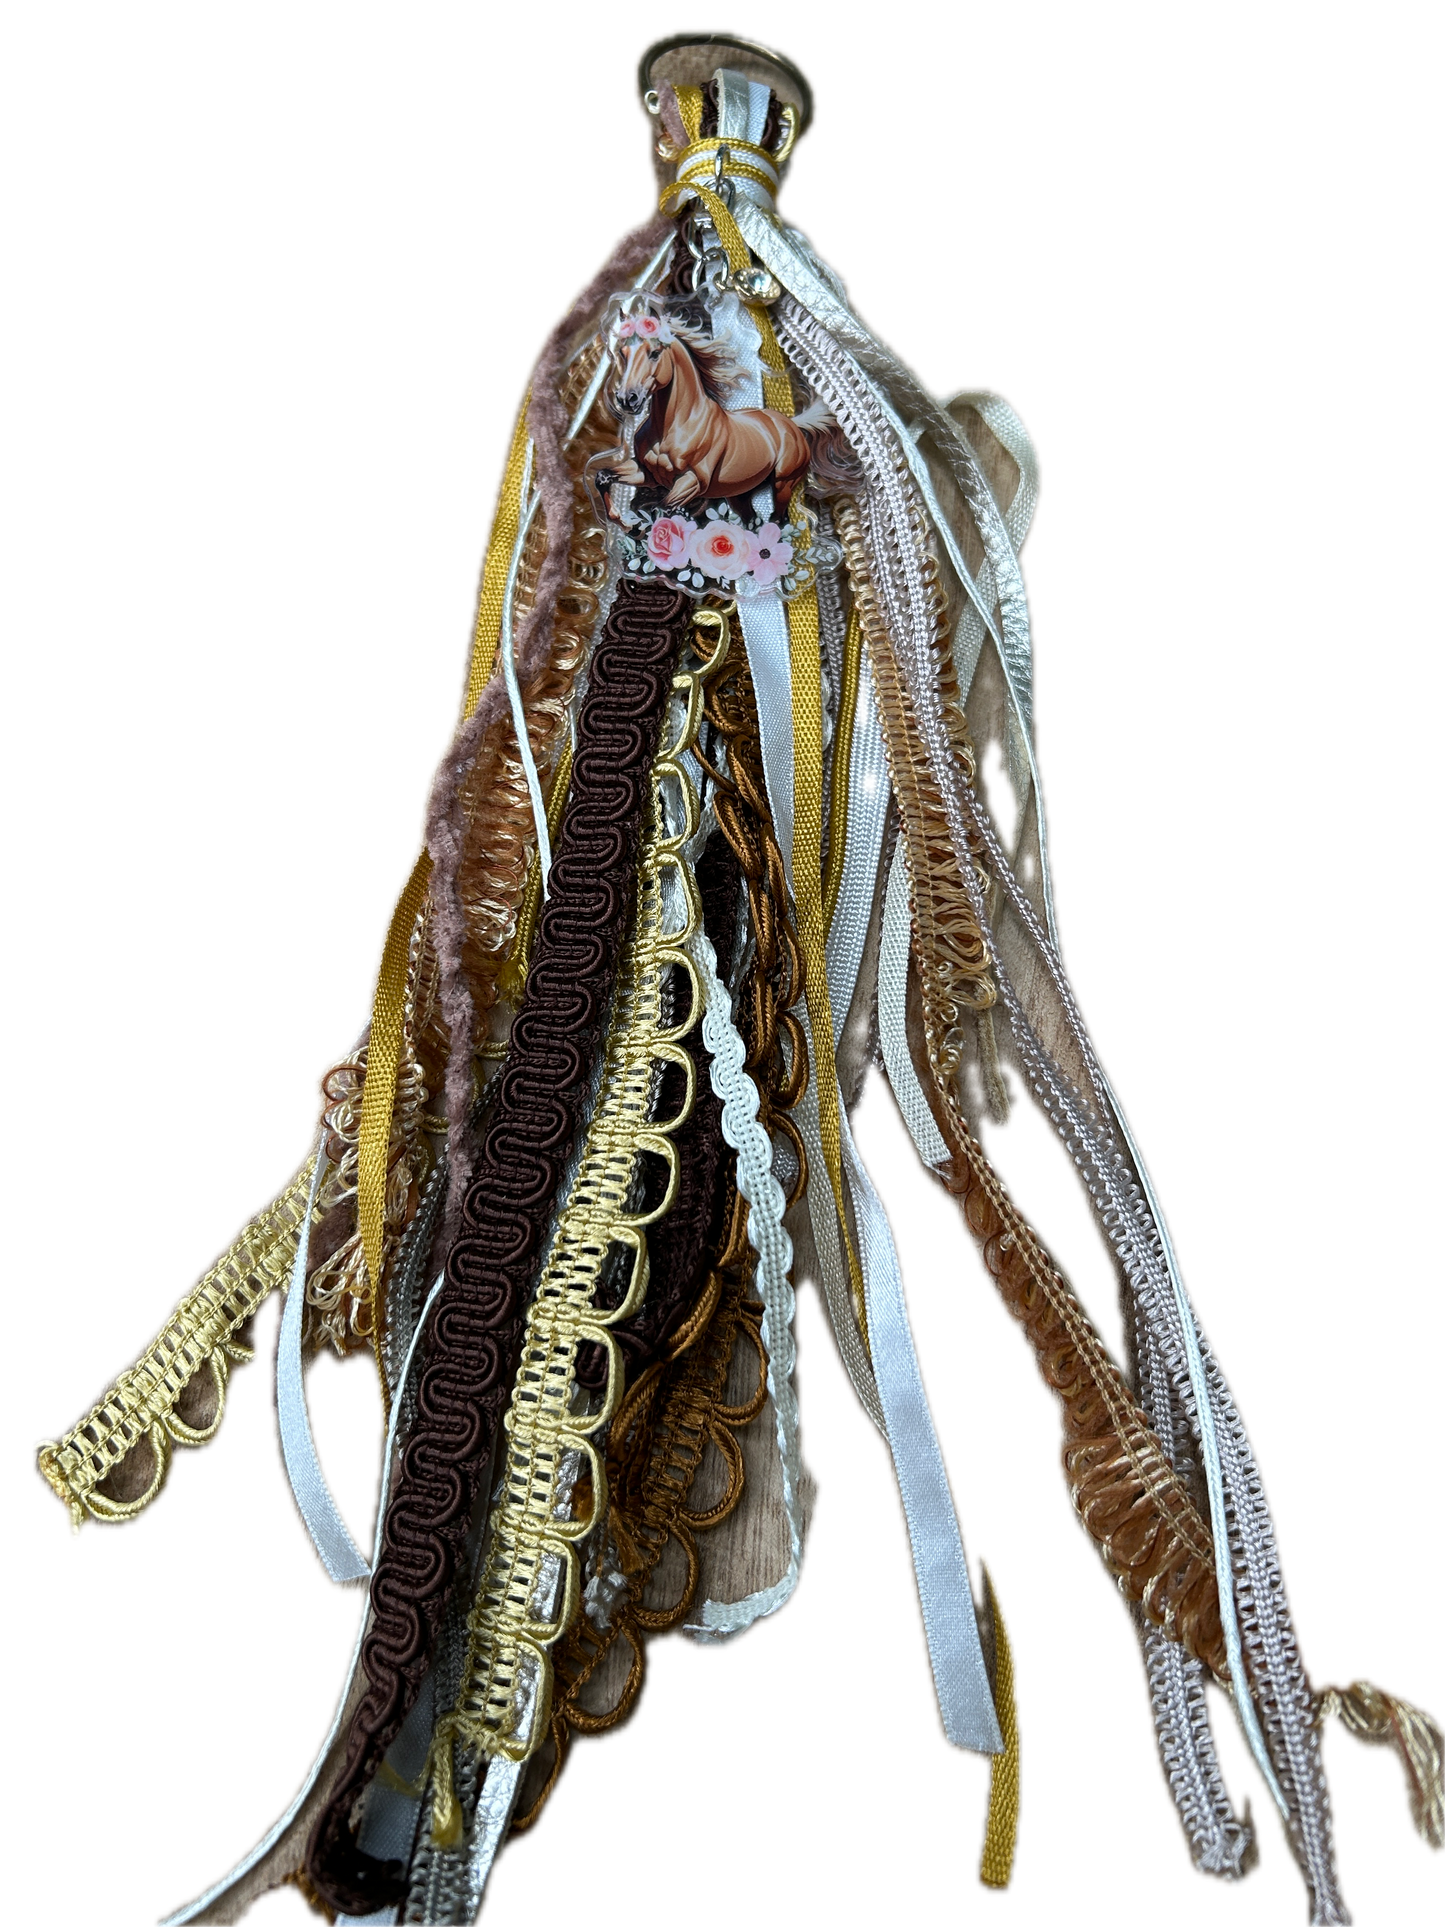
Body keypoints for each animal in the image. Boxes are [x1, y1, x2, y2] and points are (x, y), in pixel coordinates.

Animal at [589, 308, 854, 524]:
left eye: (654, 353)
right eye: (623, 353)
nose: (627, 399)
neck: (673, 427)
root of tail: (791, 424)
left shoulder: (693, 481)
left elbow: (660, 510)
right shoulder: (645, 472)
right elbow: (602, 477)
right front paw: (617, 518)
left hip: (783, 484)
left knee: (778, 519)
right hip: (738, 494)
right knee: (752, 520)